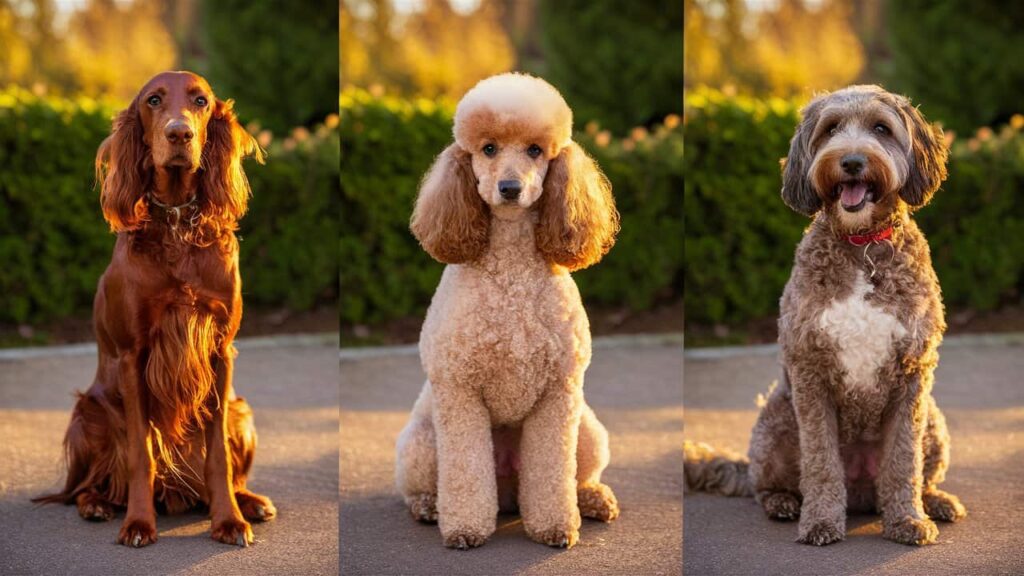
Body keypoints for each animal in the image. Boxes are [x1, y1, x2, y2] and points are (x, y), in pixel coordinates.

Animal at [35, 71, 276, 545]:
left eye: (200, 101)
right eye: (153, 101)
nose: (179, 133)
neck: (178, 223)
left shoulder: (220, 350)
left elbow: (217, 453)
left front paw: (228, 519)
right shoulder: (134, 354)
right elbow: (140, 453)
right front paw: (138, 523)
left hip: (243, 412)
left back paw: (249, 501)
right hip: (88, 414)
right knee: (87, 485)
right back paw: (96, 504)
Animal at [397, 71, 622, 545]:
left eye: (535, 150)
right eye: (488, 149)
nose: (510, 189)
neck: (512, 267)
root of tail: (507, 496)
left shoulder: (559, 394)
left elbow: (553, 474)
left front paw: (556, 525)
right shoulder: (459, 391)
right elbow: (465, 472)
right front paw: (464, 528)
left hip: (587, 429)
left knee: (578, 475)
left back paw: (593, 499)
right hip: (421, 442)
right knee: (422, 485)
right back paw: (429, 507)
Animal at [684, 85, 962, 541]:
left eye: (881, 129)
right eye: (831, 129)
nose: (850, 161)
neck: (861, 243)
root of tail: (863, 493)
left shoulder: (912, 374)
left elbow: (903, 461)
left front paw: (907, 519)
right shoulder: (810, 370)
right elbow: (820, 460)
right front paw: (819, 521)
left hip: (934, 421)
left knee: (919, 474)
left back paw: (934, 501)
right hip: (776, 421)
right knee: (765, 485)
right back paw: (783, 503)